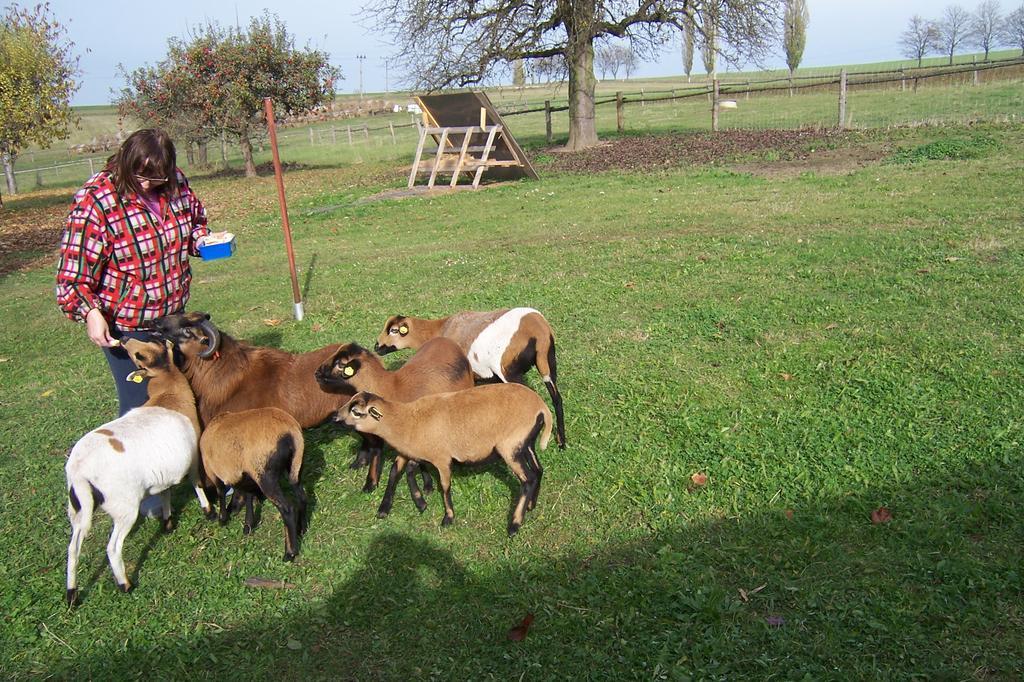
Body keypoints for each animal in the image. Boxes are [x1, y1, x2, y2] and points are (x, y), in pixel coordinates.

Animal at [339, 382, 552, 536]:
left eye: (356, 412)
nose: (336, 417)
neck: (407, 421)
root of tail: (542, 407)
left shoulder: (441, 459)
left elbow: (444, 486)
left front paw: (448, 517)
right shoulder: (416, 452)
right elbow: (402, 471)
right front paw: (416, 503)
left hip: (510, 447)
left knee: (527, 479)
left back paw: (514, 525)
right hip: (525, 443)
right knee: (538, 470)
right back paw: (531, 505)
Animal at [376, 307, 569, 446]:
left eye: (394, 330)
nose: (376, 346)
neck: (440, 329)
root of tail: (539, 332)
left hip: (509, 370)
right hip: (548, 363)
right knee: (557, 398)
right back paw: (561, 442)